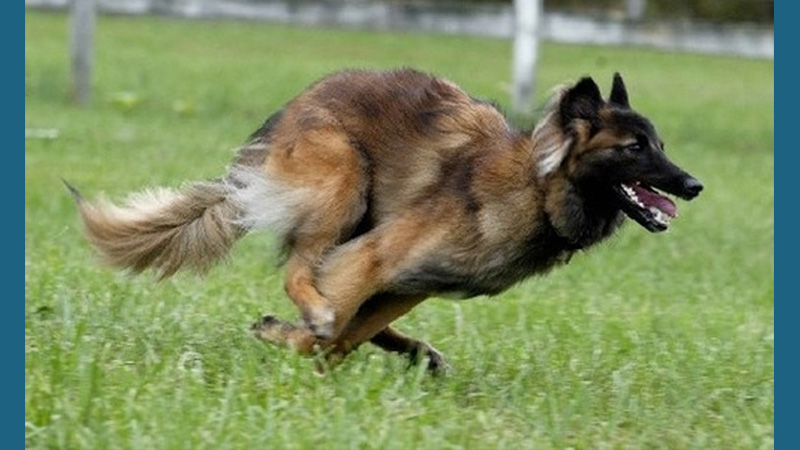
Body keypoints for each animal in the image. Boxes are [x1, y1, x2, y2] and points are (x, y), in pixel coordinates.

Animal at [69, 69, 700, 372]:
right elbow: (330, 330)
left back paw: (416, 351)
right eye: (634, 148)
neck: (537, 188)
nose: (694, 186)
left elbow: (350, 335)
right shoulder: (377, 257)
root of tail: (299, 103)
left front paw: (311, 353)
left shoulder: (414, 281)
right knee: (301, 271)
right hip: (344, 183)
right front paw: (288, 338)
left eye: (661, 145)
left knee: (341, 306)